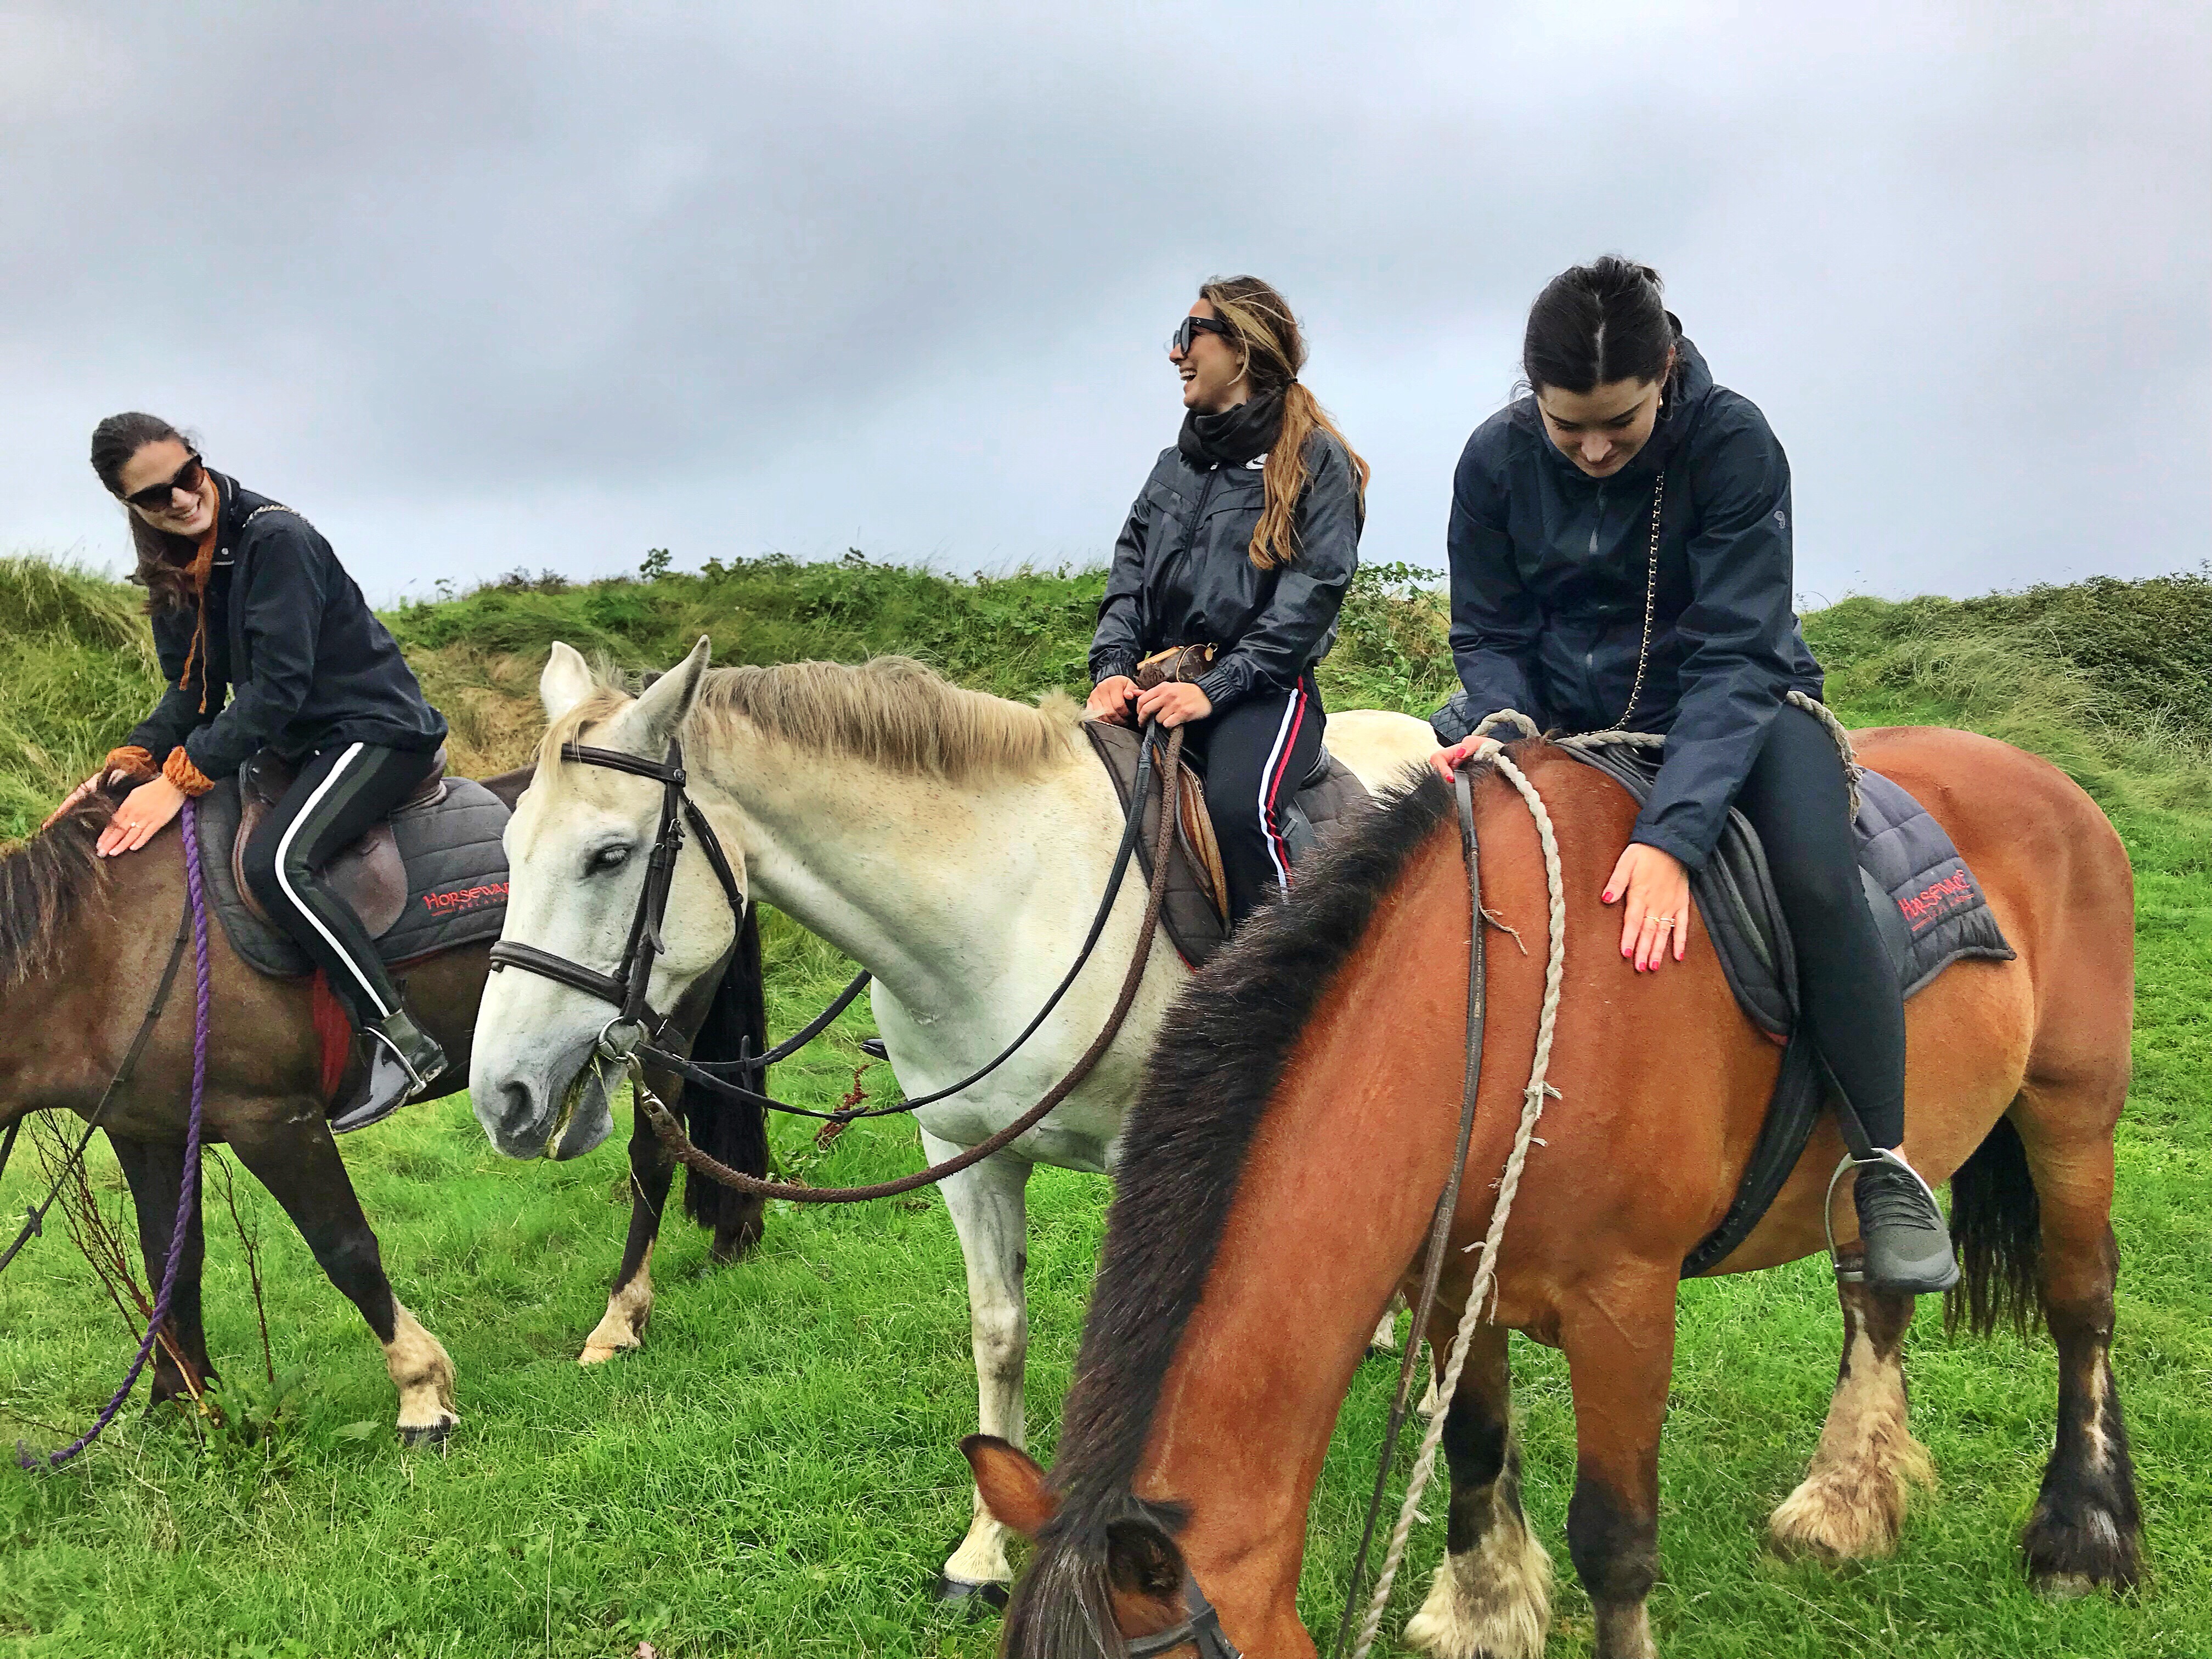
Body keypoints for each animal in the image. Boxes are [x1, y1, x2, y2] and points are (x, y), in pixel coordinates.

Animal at [0, 778, 770, 1442]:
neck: (110, 949)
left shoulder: (273, 1122)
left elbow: (346, 1250)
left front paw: (421, 1392)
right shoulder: (143, 1133)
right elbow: (170, 1258)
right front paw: (182, 1403)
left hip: (659, 1033)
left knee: (652, 1161)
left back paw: (620, 1320)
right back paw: (734, 1235)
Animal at [469, 641, 1433, 1601]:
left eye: (608, 855)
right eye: (511, 849)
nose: (501, 1094)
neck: (1013, 912)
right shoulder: (969, 1158)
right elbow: (998, 1334)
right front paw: (982, 1553)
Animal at [960, 730, 2132, 1659]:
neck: (1500, 1012)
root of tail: (2045, 776)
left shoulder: (1625, 1303)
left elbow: (1613, 1538)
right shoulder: (1452, 1279)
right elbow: (1474, 1447)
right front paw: (1483, 1615)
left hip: (2071, 1113)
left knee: (2080, 1300)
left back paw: (2083, 1533)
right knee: (1875, 1295)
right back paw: (1845, 1502)